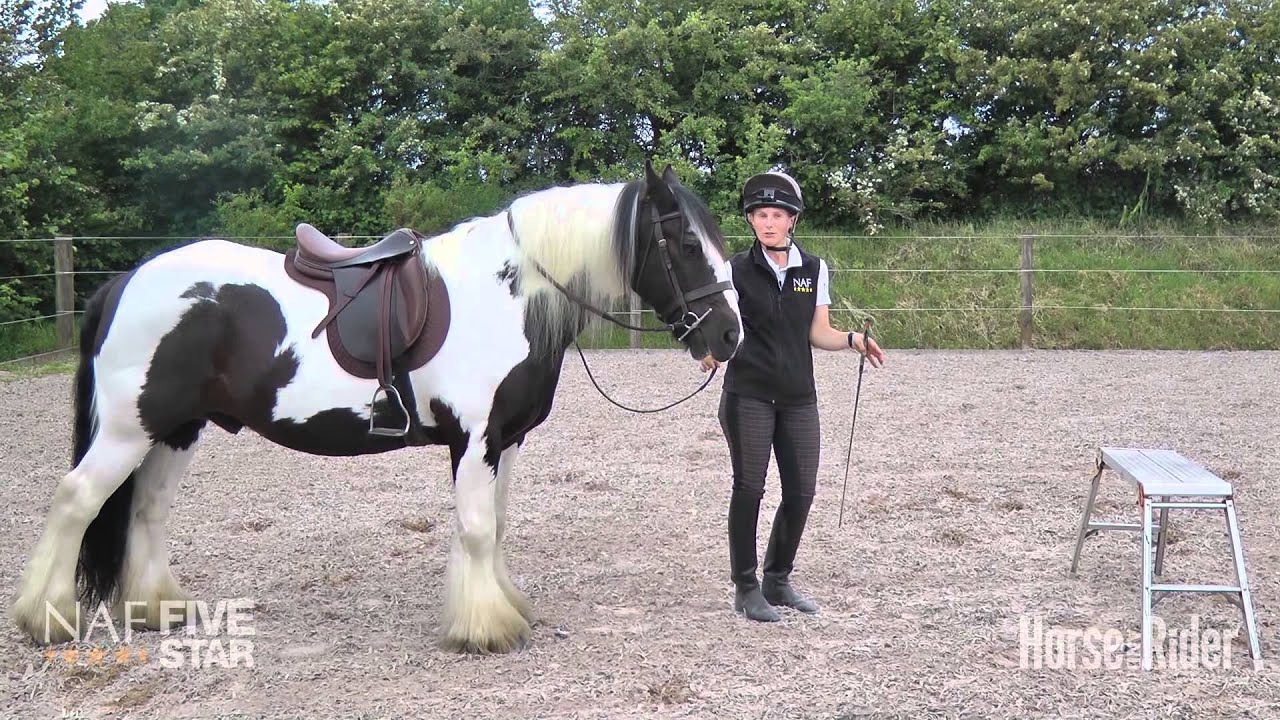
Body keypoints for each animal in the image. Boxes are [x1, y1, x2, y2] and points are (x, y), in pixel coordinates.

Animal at [11, 162, 743, 654]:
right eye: (685, 243)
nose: (729, 336)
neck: (508, 294)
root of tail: (127, 280)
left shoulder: (506, 440)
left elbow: (498, 527)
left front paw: (506, 605)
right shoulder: (474, 441)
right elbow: (477, 528)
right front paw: (485, 629)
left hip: (176, 430)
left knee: (147, 509)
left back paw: (157, 609)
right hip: (127, 430)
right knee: (76, 500)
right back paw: (46, 619)